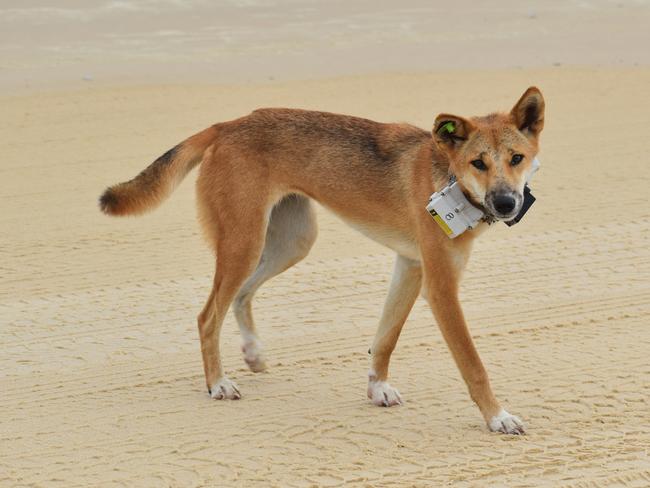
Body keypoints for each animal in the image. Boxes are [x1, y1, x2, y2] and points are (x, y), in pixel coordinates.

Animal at [100, 86, 540, 432]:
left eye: (516, 158)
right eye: (478, 163)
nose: (506, 203)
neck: (447, 177)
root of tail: (229, 124)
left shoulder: (411, 266)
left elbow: (385, 338)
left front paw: (377, 387)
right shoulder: (441, 288)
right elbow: (473, 364)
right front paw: (497, 417)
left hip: (291, 241)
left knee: (241, 295)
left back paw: (253, 352)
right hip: (244, 242)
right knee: (208, 316)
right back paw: (218, 384)